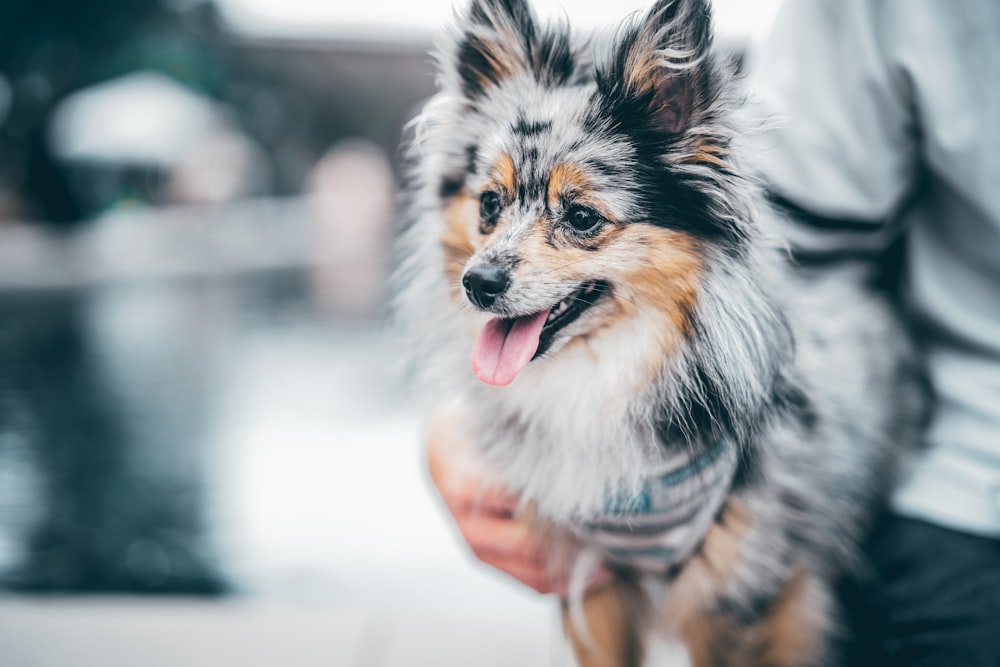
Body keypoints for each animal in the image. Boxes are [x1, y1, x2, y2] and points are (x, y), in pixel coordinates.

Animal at [394, 2, 924, 664]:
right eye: (489, 204)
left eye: (582, 217)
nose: (478, 282)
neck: (606, 373)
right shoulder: (593, 584)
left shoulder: (742, 596)